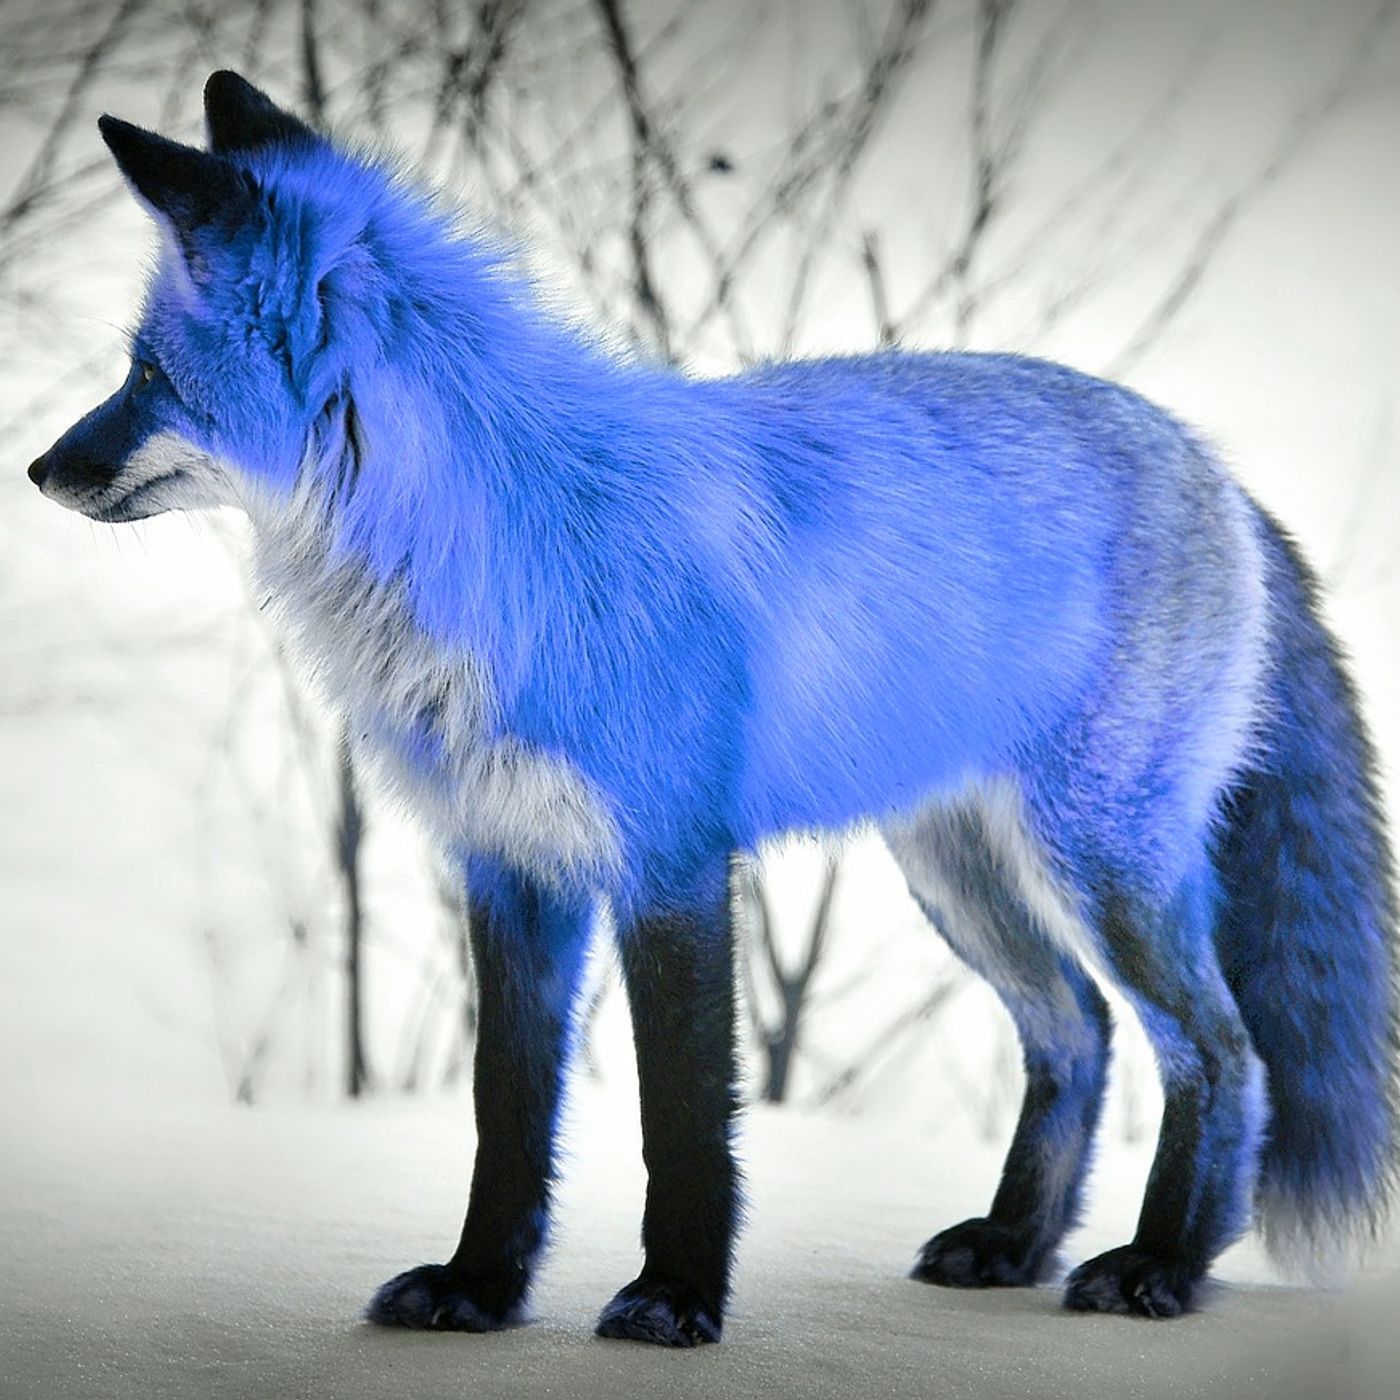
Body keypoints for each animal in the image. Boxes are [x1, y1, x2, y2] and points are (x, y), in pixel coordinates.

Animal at [27, 70, 1397, 1345]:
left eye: (144, 375)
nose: (37, 468)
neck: (485, 544)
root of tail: (1212, 461)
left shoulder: (669, 860)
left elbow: (680, 1116)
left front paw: (675, 1296)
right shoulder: (511, 865)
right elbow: (504, 1117)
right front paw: (480, 1286)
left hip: (1100, 862)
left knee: (1220, 1052)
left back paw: (1162, 1264)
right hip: (956, 871)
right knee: (1078, 1034)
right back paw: (1015, 1242)